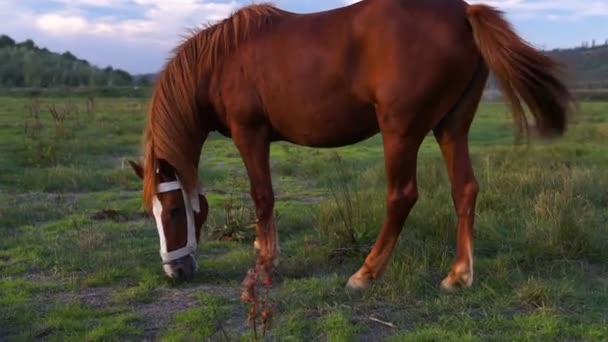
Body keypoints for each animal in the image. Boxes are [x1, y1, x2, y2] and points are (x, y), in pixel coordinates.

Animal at [127, 0, 568, 292]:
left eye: (172, 209)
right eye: (152, 212)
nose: (175, 272)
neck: (221, 60)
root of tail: (464, 11)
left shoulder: (249, 133)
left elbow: (263, 196)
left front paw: (265, 264)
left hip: (400, 131)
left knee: (402, 196)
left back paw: (366, 273)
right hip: (451, 128)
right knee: (465, 190)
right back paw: (459, 275)